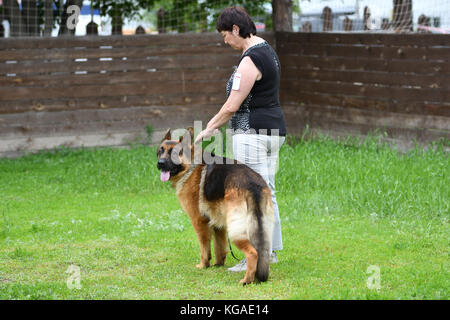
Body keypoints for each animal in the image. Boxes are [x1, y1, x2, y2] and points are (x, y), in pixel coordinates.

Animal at [155, 126, 274, 284]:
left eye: (174, 153)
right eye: (160, 151)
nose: (160, 163)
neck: (190, 166)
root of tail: (252, 184)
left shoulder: (199, 222)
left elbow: (204, 247)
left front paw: (203, 265)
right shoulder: (218, 224)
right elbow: (219, 246)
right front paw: (218, 264)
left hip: (236, 229)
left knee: (253, 252)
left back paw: (246, 280)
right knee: (261, 251)